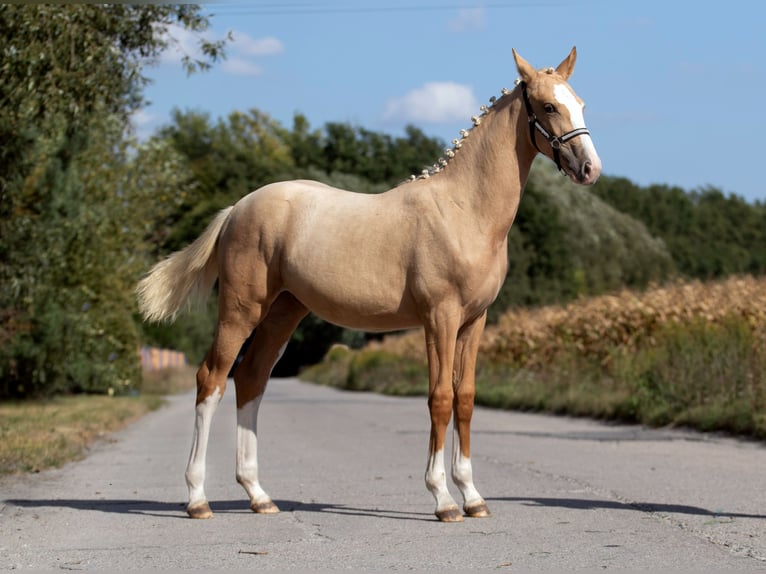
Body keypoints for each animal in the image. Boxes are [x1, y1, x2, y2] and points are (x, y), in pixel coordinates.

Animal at [140, 48, 608, 528]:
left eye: (580, 103)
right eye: (548, 106)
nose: (590, 169)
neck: (464, 210)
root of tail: (237, 208)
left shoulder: (474, 321)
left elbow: (465, 400)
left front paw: (473, 497)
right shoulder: (439, 318)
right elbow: (440, 399)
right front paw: (443, 500)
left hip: (283, 312)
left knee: (251, 379)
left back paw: (258, 495)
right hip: (241, 310)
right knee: (211, 380)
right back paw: (197, 499)